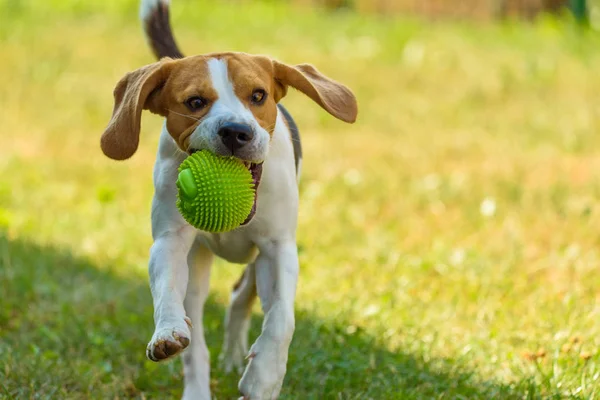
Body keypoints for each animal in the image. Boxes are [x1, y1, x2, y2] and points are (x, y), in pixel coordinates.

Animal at [100, 1, 356, 398]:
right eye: (195, 102)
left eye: (258, 96)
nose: (236, 131)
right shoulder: (170, 242)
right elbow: (167, 291)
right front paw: (167, 330)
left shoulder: (278, 249)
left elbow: (281, 319)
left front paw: (263, 377)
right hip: (198, 265)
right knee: (198, 331)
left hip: (256, 260)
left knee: (241, 297)